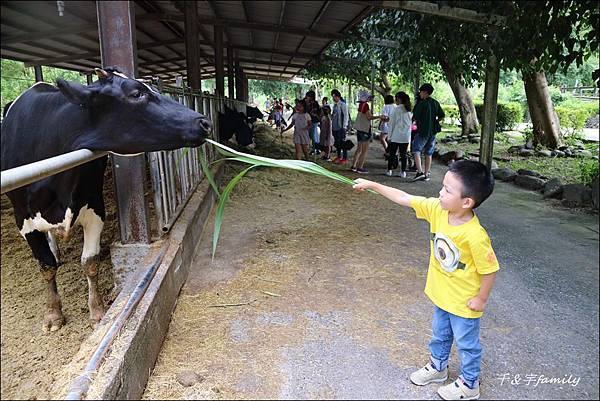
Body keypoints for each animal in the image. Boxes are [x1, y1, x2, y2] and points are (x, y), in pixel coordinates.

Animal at [1, 68, 212, 332]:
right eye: (136, 93)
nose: (204, 122)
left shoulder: (95, 207)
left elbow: (90, 262)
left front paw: (97, 310)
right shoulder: (23, 219)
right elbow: (46, 266)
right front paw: (53, 314)